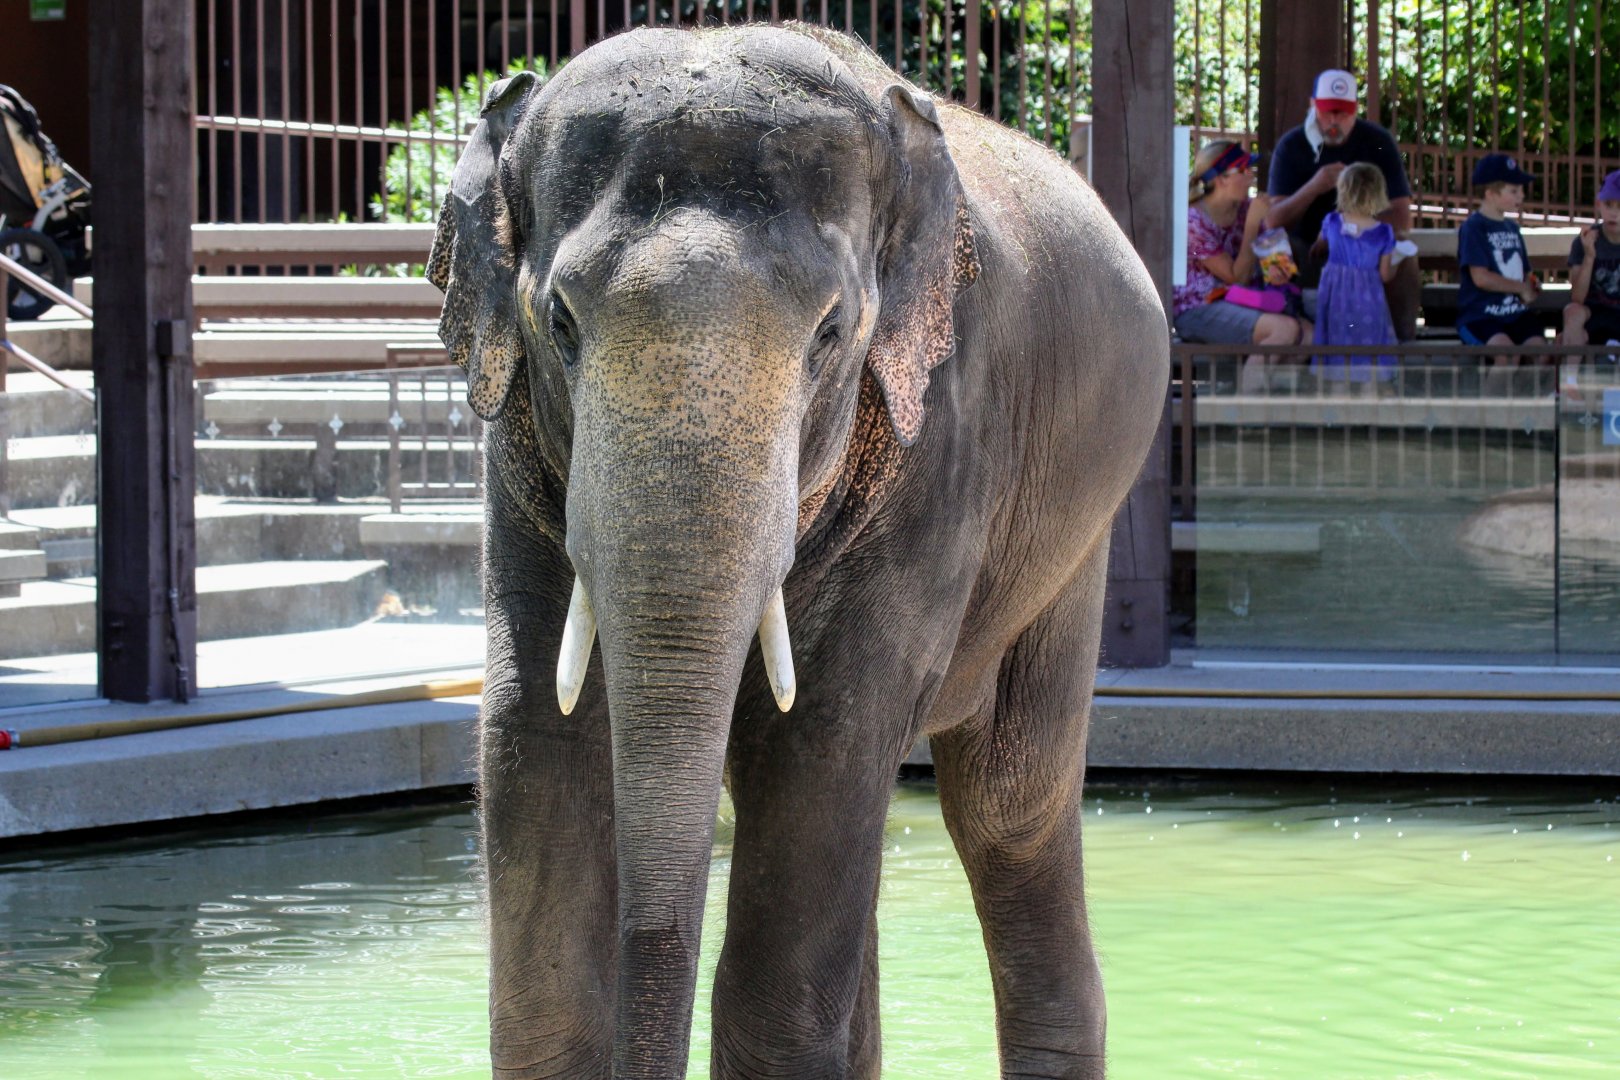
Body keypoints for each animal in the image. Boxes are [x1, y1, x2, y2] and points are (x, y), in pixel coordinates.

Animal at [427, 22, 1167, 1080]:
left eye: (830, 333)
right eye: (559, 321)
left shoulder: (936, 442)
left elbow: (826, 732)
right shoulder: (517, 461)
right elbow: (537, 730)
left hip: (1074, 542)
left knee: (1007, 808)